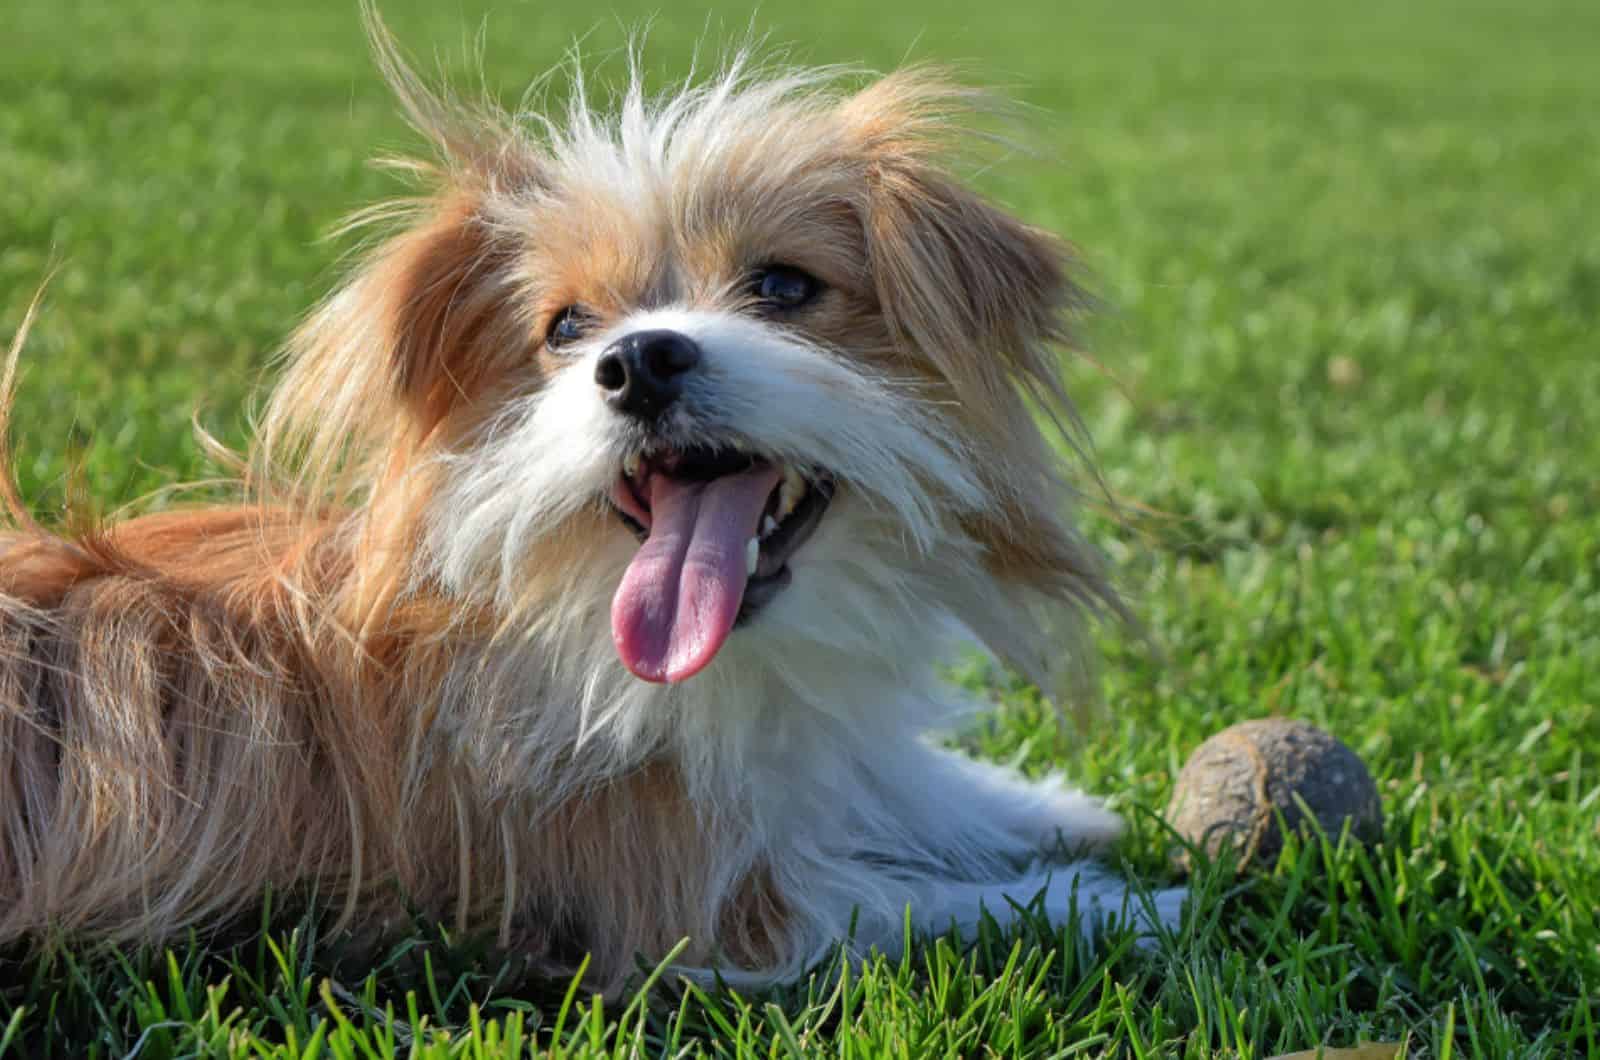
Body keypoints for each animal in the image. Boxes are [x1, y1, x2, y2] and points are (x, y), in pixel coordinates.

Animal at [0, 14, 1177, 999]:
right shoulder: (696, 909)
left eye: (784, 286)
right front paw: (1135, 902)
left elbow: (900, 783)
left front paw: (1050, 805)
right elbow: (926, 903)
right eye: (567, 326)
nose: (639, 359)